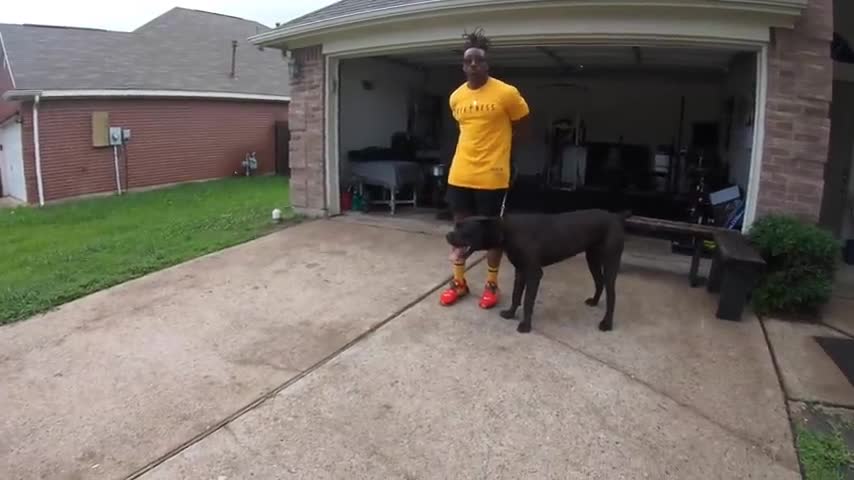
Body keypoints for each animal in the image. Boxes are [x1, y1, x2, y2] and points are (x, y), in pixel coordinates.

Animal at [448, 210, 628, 334]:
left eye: (464, 229)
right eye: (456, 225)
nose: (447, 235)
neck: (506, 231)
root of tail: (616, 217)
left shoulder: (534, 274)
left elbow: (528, 301)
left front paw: (525, 325)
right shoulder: (520, 271)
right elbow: (516, 295)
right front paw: (510, 313)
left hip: (611, 262)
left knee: (611, 294)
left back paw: (607, 323)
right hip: (592, 259)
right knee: (599, 282)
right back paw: (594, 302)